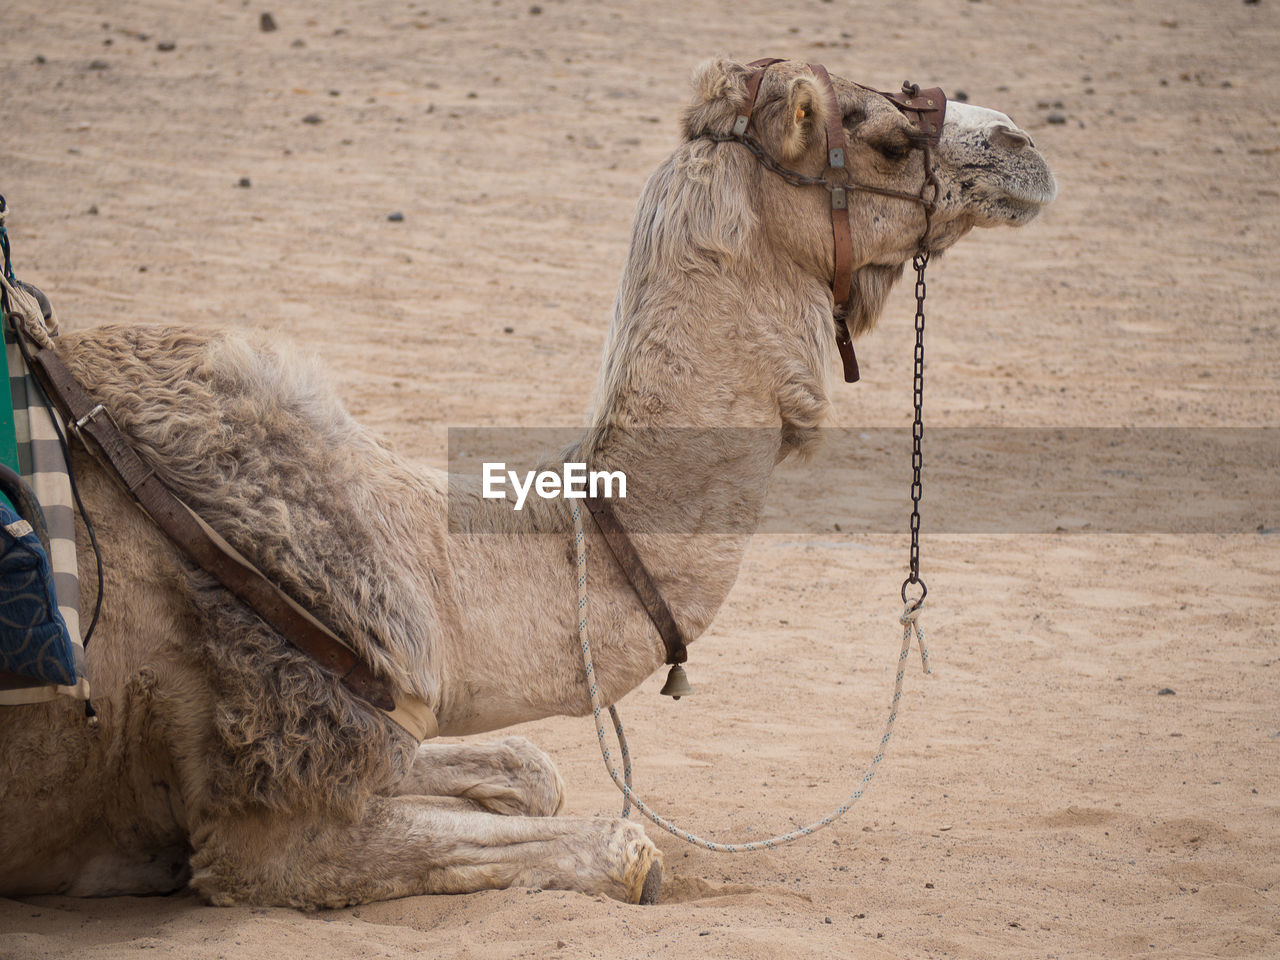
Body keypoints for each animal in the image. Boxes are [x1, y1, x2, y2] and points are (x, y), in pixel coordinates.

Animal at [0, 60, 1054, 911]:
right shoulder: (273, 785)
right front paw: (631, 864)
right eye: (884, 136)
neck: (426, 558)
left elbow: (530, 765)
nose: (1024, 144)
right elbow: (619, 846)